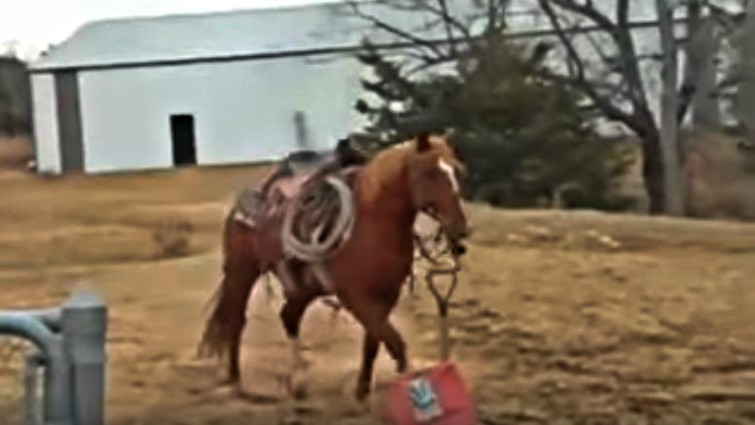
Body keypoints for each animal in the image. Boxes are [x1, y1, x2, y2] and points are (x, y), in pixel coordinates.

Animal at [198, 130, 469, 403]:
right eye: (429, 172)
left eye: (457, 171)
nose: (459, 228)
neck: (372, 220)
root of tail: (244, 202)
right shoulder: (355, 297)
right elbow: (394, 342)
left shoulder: (386, 295)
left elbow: (374, 342)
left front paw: (362, 392)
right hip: (242, 270)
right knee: (236, 320)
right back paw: (236, 380)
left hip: (303, 287)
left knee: (288, 316)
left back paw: (298, 382)